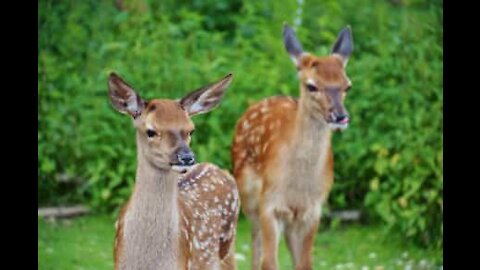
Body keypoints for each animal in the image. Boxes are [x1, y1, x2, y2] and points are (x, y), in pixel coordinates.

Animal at [231, 23, 354, 270]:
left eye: (347, 86)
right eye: (311, 86)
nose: (340, 116)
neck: (297, 187)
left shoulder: (312, 211)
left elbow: (305, 263)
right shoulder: (270, 204)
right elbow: (269, 262)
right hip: (248, 195)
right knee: (256, 247)